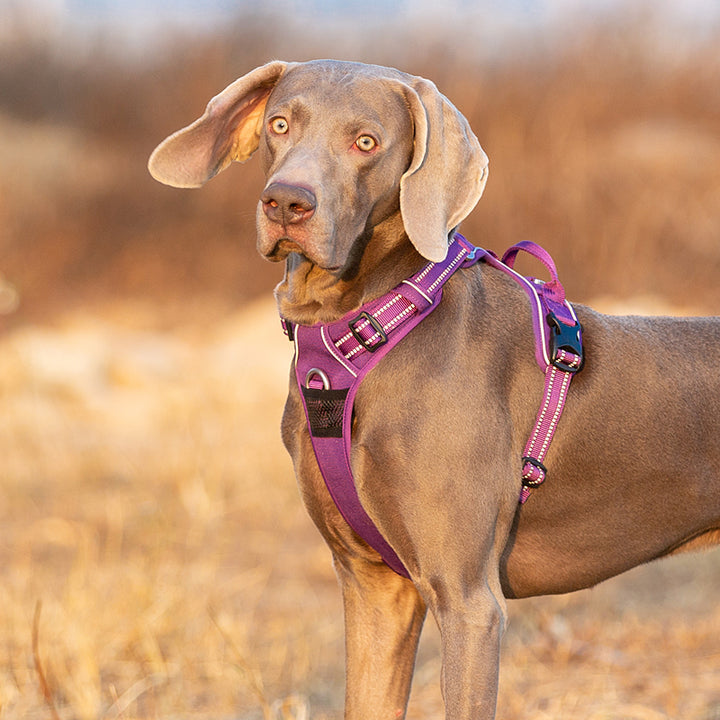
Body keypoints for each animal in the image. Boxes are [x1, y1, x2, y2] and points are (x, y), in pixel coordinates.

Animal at [148, 60, 720, 720]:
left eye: (366, 141)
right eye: (280, 124)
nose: (287, 201)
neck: (368, 329)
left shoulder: (468, 600)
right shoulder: (375, 586)